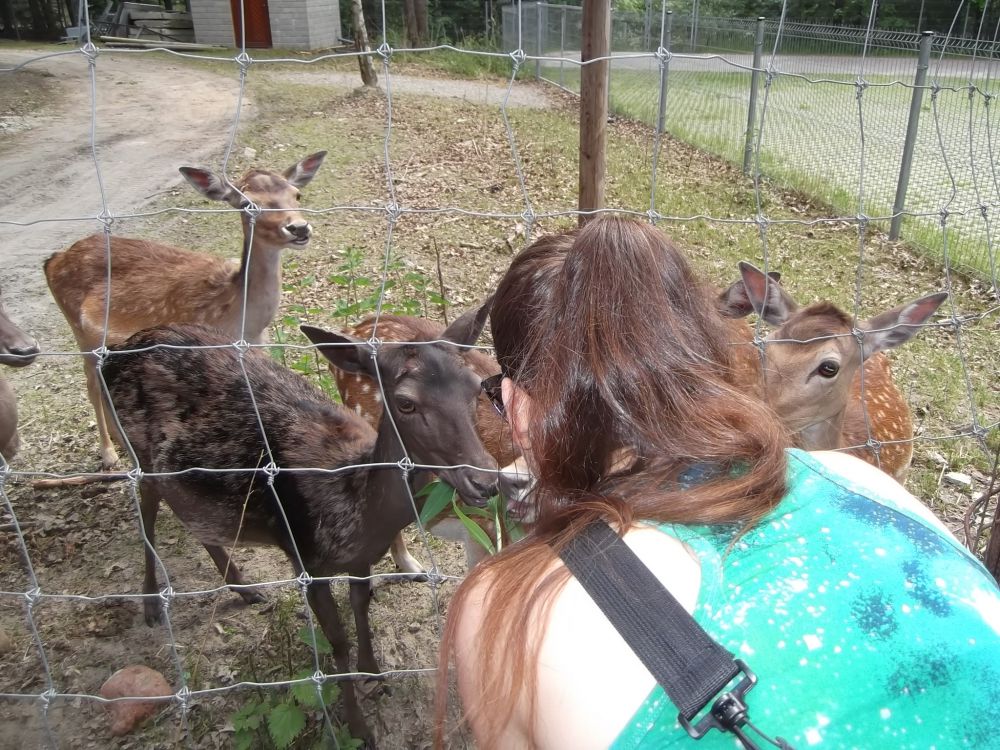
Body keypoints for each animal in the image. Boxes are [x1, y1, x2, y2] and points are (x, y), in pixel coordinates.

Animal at [45, 150, 326, 472]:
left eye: (296, 194)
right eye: (247, 203)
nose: (298, 227)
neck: (242, 321)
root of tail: (53, 260)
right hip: (81, 334)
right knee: (91, 386)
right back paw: (109, 454)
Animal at [101, 300, 500, 748]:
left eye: (476, 388)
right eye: (405, 402)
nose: (485, 480)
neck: (355, 510)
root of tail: (115, 353)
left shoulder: (361, 558)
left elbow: (362, 605)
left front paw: (373, 672)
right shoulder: (304, 557)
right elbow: (337, 640)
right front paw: (358, 727)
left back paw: (244, 589)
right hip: (138, 448)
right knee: (148, 507)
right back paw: (153, 601)